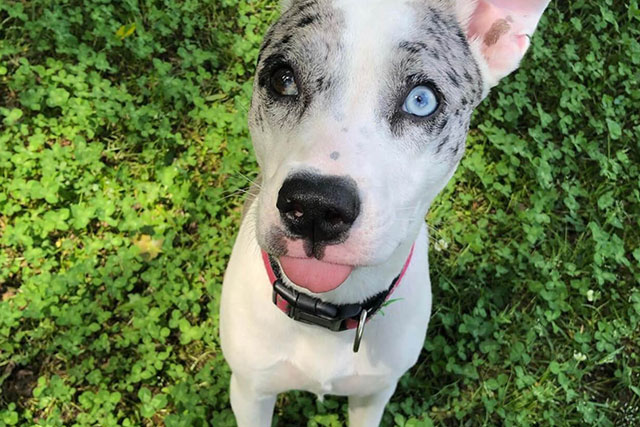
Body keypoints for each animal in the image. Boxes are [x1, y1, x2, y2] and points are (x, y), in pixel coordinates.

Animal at [221, 1, 552, 426]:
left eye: (421, 100)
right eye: (283, 79)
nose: (314, 206)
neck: (327, 312)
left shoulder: (374, 394)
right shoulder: (250, 392)